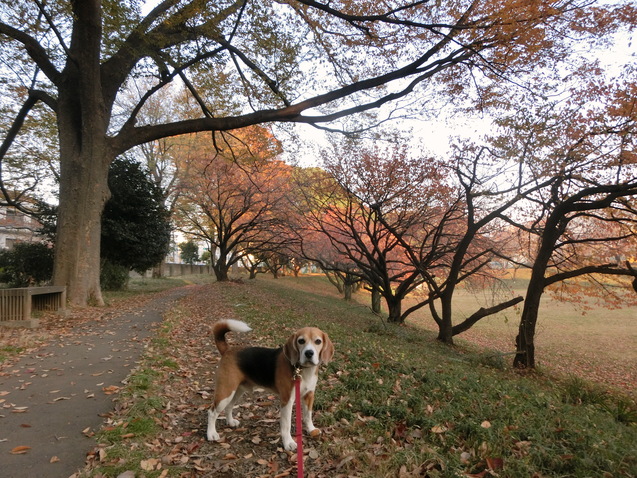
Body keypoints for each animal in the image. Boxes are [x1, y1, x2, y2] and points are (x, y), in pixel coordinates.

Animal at [207, 320, 336, 450]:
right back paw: (211, 434)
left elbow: (308, 415)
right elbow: (286, 424)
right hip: (225, 392)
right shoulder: (287, 400)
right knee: (212, 412)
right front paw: (288, 442)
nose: (309, 353)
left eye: (318, 341)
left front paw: (311, 430)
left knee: (229, 406)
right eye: (301, 341)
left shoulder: (309, 395)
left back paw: (231, 422)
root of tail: (228, 350)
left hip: (236, 391)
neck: (302, 369)